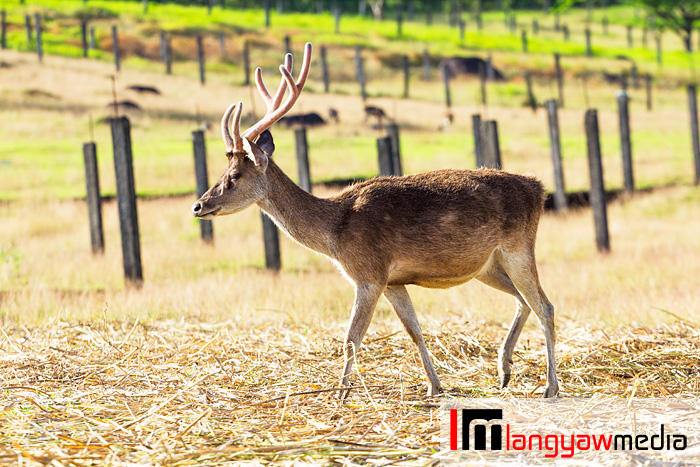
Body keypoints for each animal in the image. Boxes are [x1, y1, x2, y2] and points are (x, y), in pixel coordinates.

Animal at [190, 44, 556, 400]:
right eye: (224, 172)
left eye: (234, 177)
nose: (198, 206)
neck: (336, 233)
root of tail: (539, 188)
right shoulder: (392, 281)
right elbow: (414, 331)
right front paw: (434, 386)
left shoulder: (368, 274)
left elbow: (351, 338)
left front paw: (339, 393)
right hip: (486, 265)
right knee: (523, 301)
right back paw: (504, 371)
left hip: (518, 247)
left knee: (545, 306)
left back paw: (550, 386)